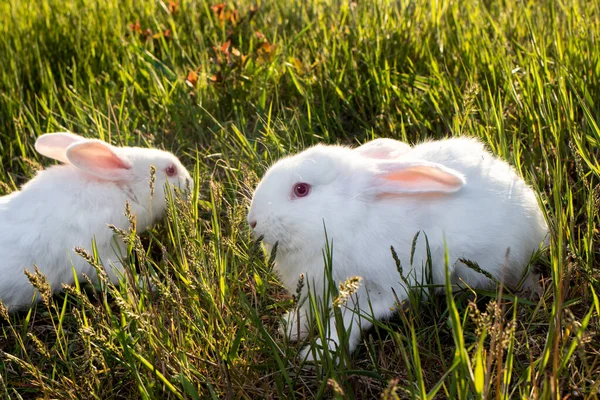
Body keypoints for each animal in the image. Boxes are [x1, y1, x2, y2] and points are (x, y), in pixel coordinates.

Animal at [0, 133, 192, 310]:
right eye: (171, 170)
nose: (190, 182)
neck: (121, 189)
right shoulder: (102, 257)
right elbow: (122, 276)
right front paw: (151, 283)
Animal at [247, 136, 548, 360]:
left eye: (301, 189)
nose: (252, 221)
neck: (349, 219)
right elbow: (309, 310)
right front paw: (290, 327)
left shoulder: (383, 289)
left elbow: (349, 321)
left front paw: (318, 354)